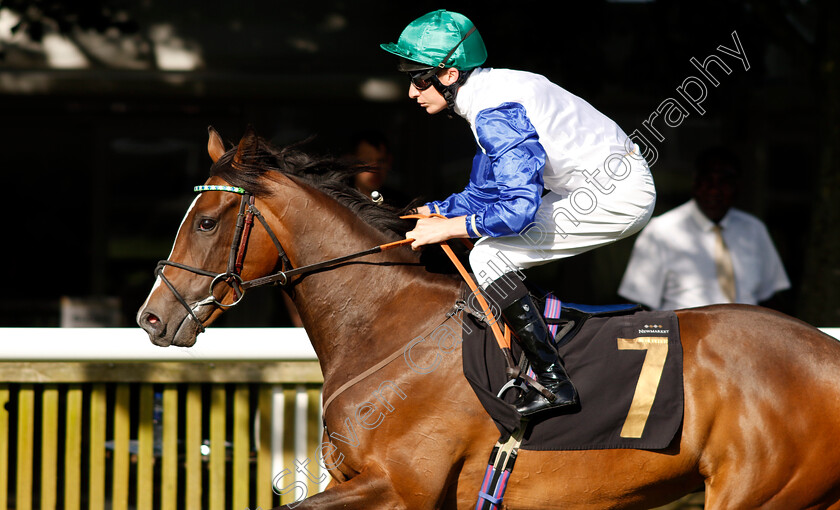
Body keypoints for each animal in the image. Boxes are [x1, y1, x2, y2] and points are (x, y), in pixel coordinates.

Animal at [139, 124, 840, 510]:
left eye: (207, 222)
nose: (151, 318)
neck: (385, 325)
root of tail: (825, 352)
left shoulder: (402, 487)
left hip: (760, 492)